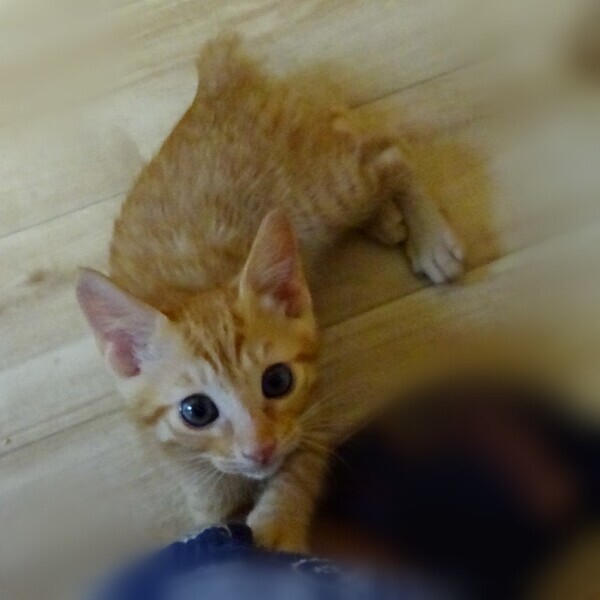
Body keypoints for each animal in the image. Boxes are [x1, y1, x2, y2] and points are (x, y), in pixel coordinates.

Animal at [76, 35, 463, 552]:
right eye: (196, 411)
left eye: (277, 381)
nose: (259, 448)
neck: (197, 285)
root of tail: (215, 86)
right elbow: (208, 507)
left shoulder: (312, 409)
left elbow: (300, 463)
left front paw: (277, 527)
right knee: (345, 128)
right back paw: (385, 219)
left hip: (326, 197)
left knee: (386, 154)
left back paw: (429, 237)